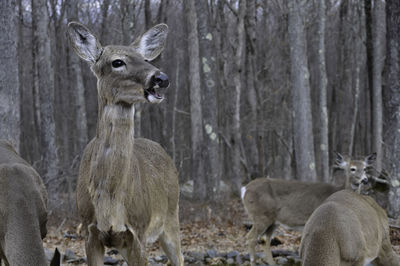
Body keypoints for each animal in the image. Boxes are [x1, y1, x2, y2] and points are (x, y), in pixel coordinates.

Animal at [67, 22, 183, 266]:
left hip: (171, 217)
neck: (109, 201)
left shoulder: (138, 231)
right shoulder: (90, 233)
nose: (161, 78)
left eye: (145, 59)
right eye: (117, 62)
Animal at [242, 153, 376, 264]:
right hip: (260, 215)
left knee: (265, 239)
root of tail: (244, 189)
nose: (365, 180)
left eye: (365, 168)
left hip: (272, 220)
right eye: (352, 169)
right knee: (250, 237)